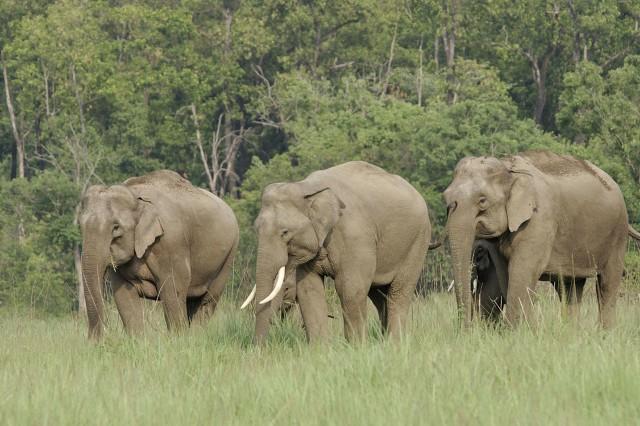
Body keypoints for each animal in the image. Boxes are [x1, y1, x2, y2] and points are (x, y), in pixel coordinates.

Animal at [79, 170, 239, 340]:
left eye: (116, 228)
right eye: (81, 225)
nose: (95, 341)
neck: (136, 195)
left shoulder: (171, 244)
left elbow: (173, 289)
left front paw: (177, 340)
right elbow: (124, 297)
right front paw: (137, 341)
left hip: (228, 255)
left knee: (207, 301)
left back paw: (197, 336)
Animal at [242, 161, 432, 344]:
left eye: (285, 232)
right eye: (256, 229)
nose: (258, 348)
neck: (306, 187)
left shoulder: (355, 237)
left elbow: (350, 288)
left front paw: (356, 348)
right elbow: (309, 290)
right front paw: (319, 349)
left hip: (418, 241)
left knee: (398, 292)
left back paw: (394, 345)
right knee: (378, 295)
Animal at [444, 151, 640, 328]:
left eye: (482, 201)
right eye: (445, 198)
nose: (466, 329)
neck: (507, 167)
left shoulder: (539, 219)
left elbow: (522, 269)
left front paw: (517, 332)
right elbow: (507, 272)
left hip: (617, 234)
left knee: (607, 284)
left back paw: (604, 333)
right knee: (569, 288)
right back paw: (570, 334)